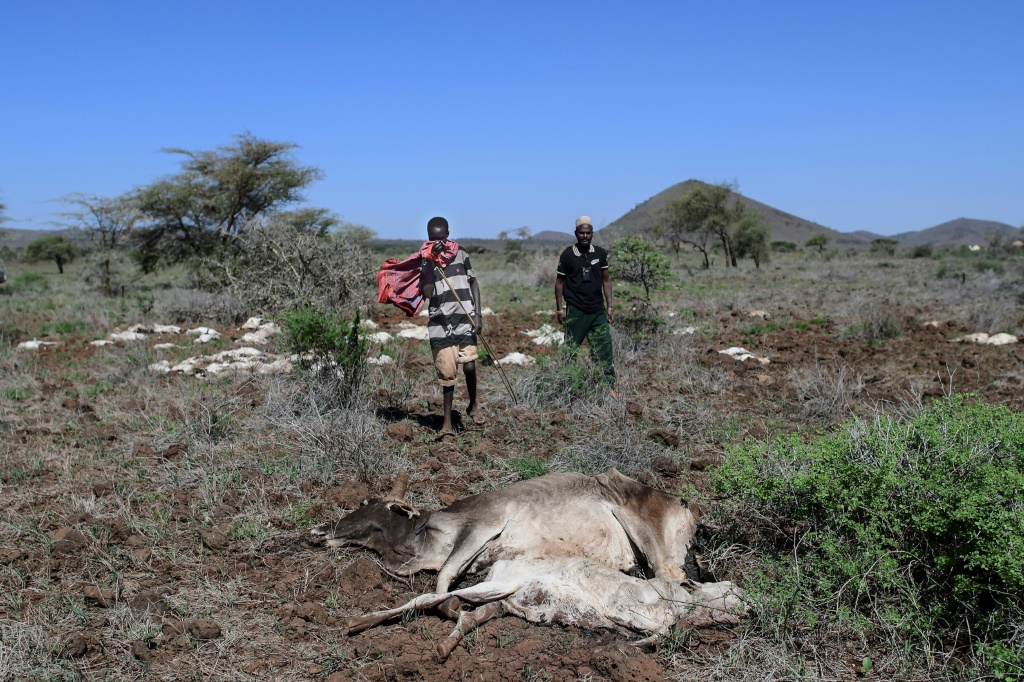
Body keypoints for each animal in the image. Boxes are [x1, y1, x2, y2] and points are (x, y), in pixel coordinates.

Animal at [311, 466, 696, 589]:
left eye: (365, 503)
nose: (319, 531)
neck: (417, 538)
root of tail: (682, 503)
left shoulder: (484, 525)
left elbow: (444, 575)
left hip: (638, 523)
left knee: (670, 575)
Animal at [344, 557, 745, 659]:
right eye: (734, 590)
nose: (751, 608)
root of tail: (501, 563)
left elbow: (667, 631)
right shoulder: (626, 607)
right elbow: (662, 629)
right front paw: (634, 644)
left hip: (499, 604)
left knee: (470, 617)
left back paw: (445, 648)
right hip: (498, 586)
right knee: (429, 599)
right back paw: (357, 623)